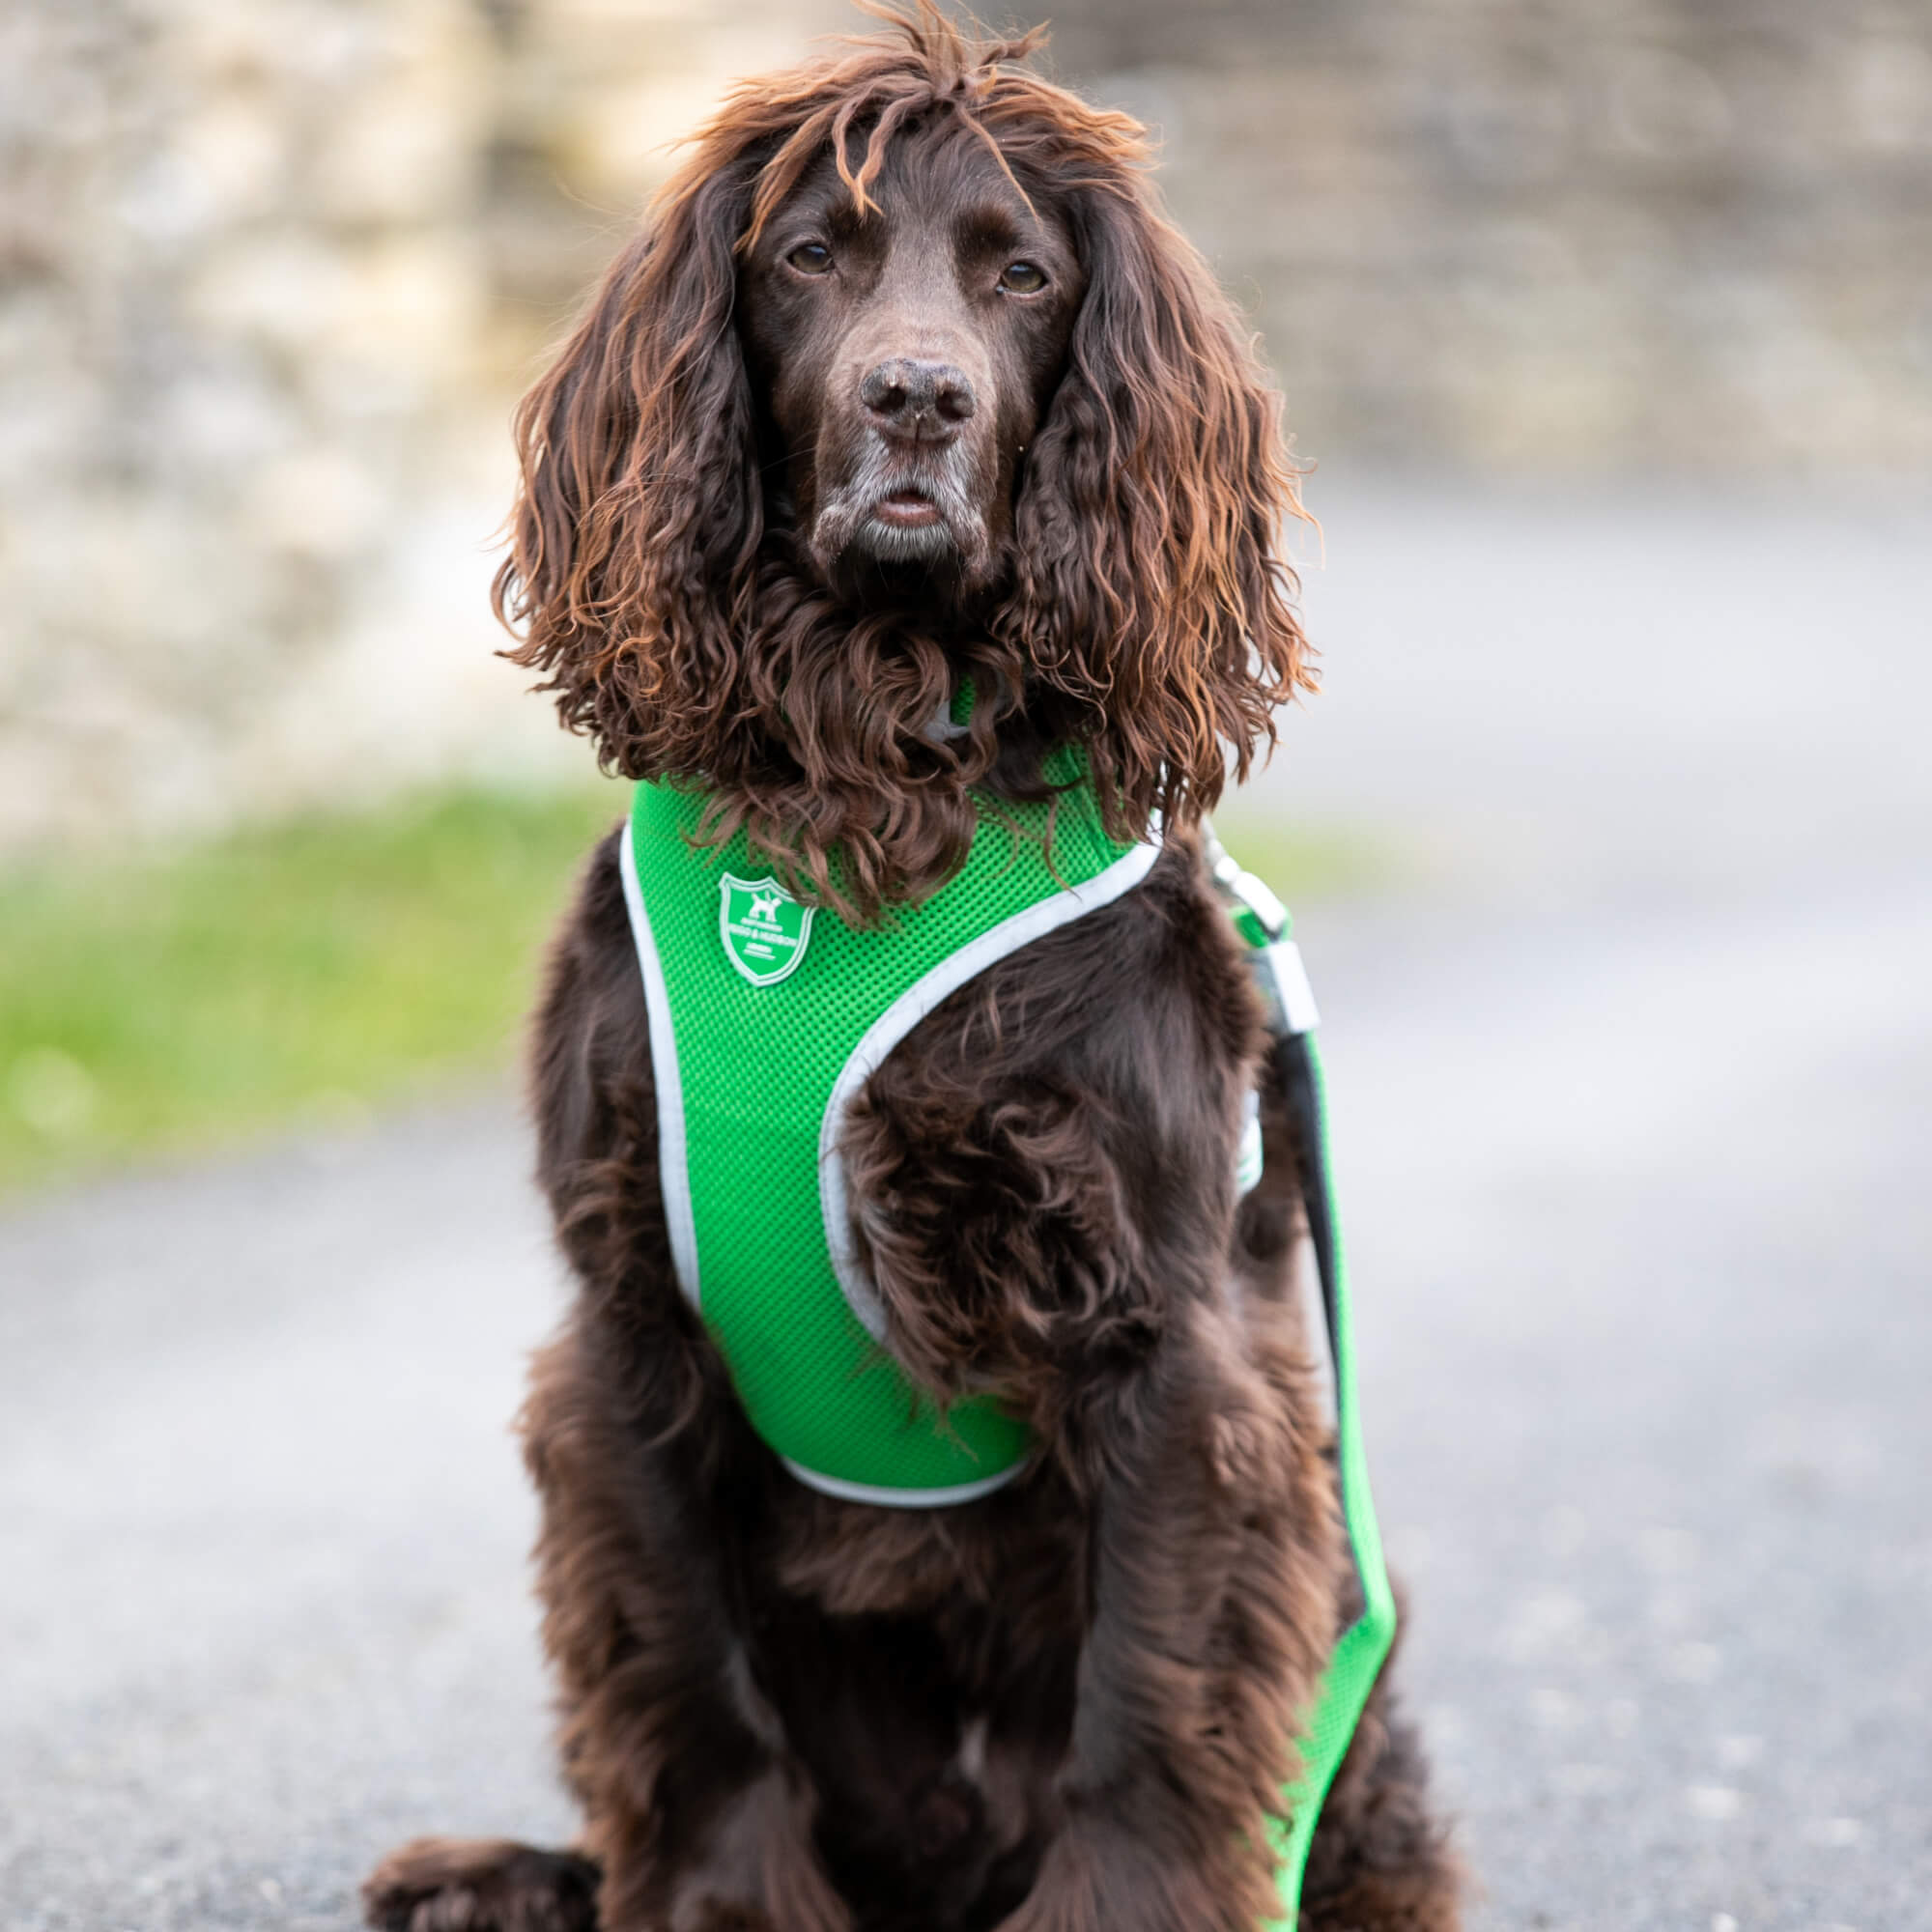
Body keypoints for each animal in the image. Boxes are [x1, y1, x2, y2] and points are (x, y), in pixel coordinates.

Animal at [363, 14, 1453, 1932]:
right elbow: (692, 1693)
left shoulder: (1168, 1337)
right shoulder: (625, 1325)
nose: (918, 399)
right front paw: (715, 1906)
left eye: (1023, 276)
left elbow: (1147, 1702)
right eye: (811, 257)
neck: (875, 786)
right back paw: (495, 1879)